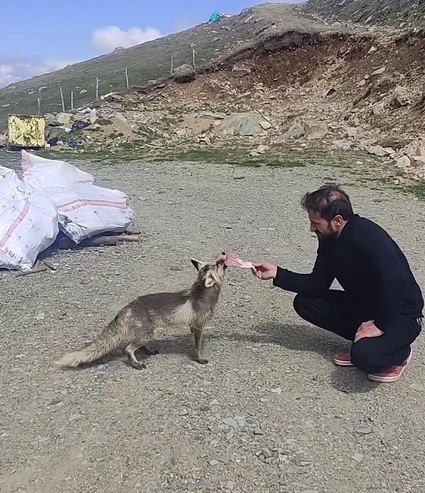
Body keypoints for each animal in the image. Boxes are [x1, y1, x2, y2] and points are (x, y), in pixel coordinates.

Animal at [55, 250, 229, 368]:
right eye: (218, 264)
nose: (223, 255)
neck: (201, 294)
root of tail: (130, 305)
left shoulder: (192, 324)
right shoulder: (199, 325)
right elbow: (197, 346)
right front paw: (199, 358)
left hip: (145, 334)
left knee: (136, 345)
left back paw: (148, 351)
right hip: (147, 334)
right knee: (128, 349)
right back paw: (136, 364)